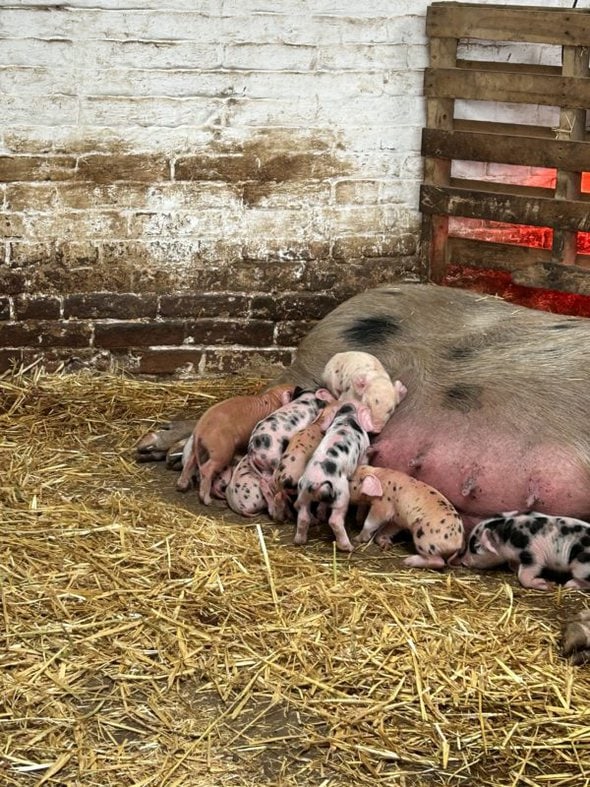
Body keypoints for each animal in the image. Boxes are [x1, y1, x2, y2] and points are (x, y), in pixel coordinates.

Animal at [294, 401, 374, 552]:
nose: (349, 404)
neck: (346, 417)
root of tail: (315, 482)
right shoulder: (364, 451)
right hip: (341, 494)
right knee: (335, 521)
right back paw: (349, 547)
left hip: (303, 494)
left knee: (303, 516)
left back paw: (299, 541)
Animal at [456, 511, 590, 590]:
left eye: (476, 547)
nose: (463, 561)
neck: (508, 537)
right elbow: (514, 566)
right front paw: (514, 568)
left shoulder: (532, 555)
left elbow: (524, 575)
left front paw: (545, 584)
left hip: (581, 567)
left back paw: (569, 585)